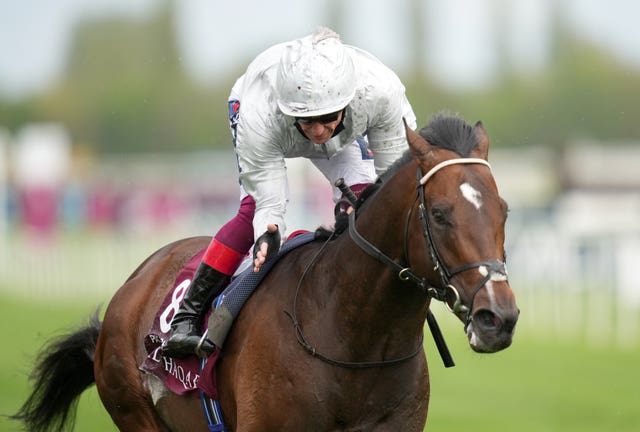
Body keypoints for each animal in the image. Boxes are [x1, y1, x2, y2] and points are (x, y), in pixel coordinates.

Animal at [11, 113, 520, 430]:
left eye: (504, 210)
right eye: (439, 213)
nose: (498, 317)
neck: (355, 337)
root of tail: (134, 285)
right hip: (134, 411)